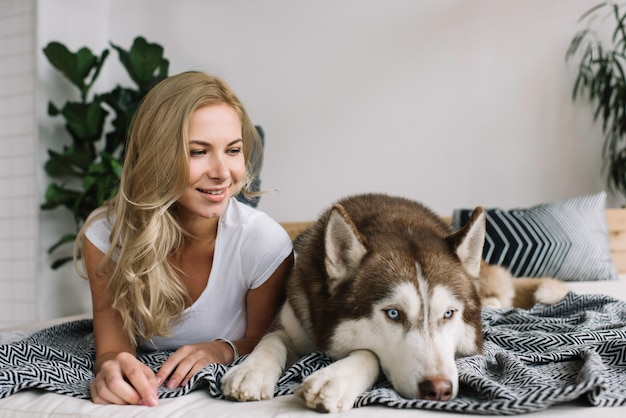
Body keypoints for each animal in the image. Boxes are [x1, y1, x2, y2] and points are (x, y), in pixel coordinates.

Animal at [222, 194, 568, 414]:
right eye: (393, 314)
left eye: (448, 314)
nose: (438, 389)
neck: (396, 221)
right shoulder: (290, 318)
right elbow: (271, 340)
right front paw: (251, 371)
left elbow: (368, 354)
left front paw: (334, 379)